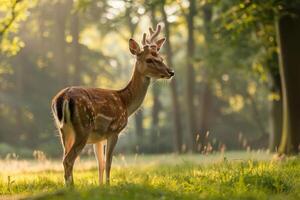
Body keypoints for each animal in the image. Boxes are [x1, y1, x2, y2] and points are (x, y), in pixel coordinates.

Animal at [51, 24, 173, 187]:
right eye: (149, 59)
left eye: (161, 58)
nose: (171, 72)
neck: (125, 102)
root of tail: (62, 98)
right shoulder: (114, 130)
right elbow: (109, 163)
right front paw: (109, 186)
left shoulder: (99, 138)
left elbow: (100, 164)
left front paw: (101, 186)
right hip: (83, 128)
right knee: (68, 160)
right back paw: (72, 188)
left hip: (64, 130)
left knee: (65, 158)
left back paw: (68, 186)